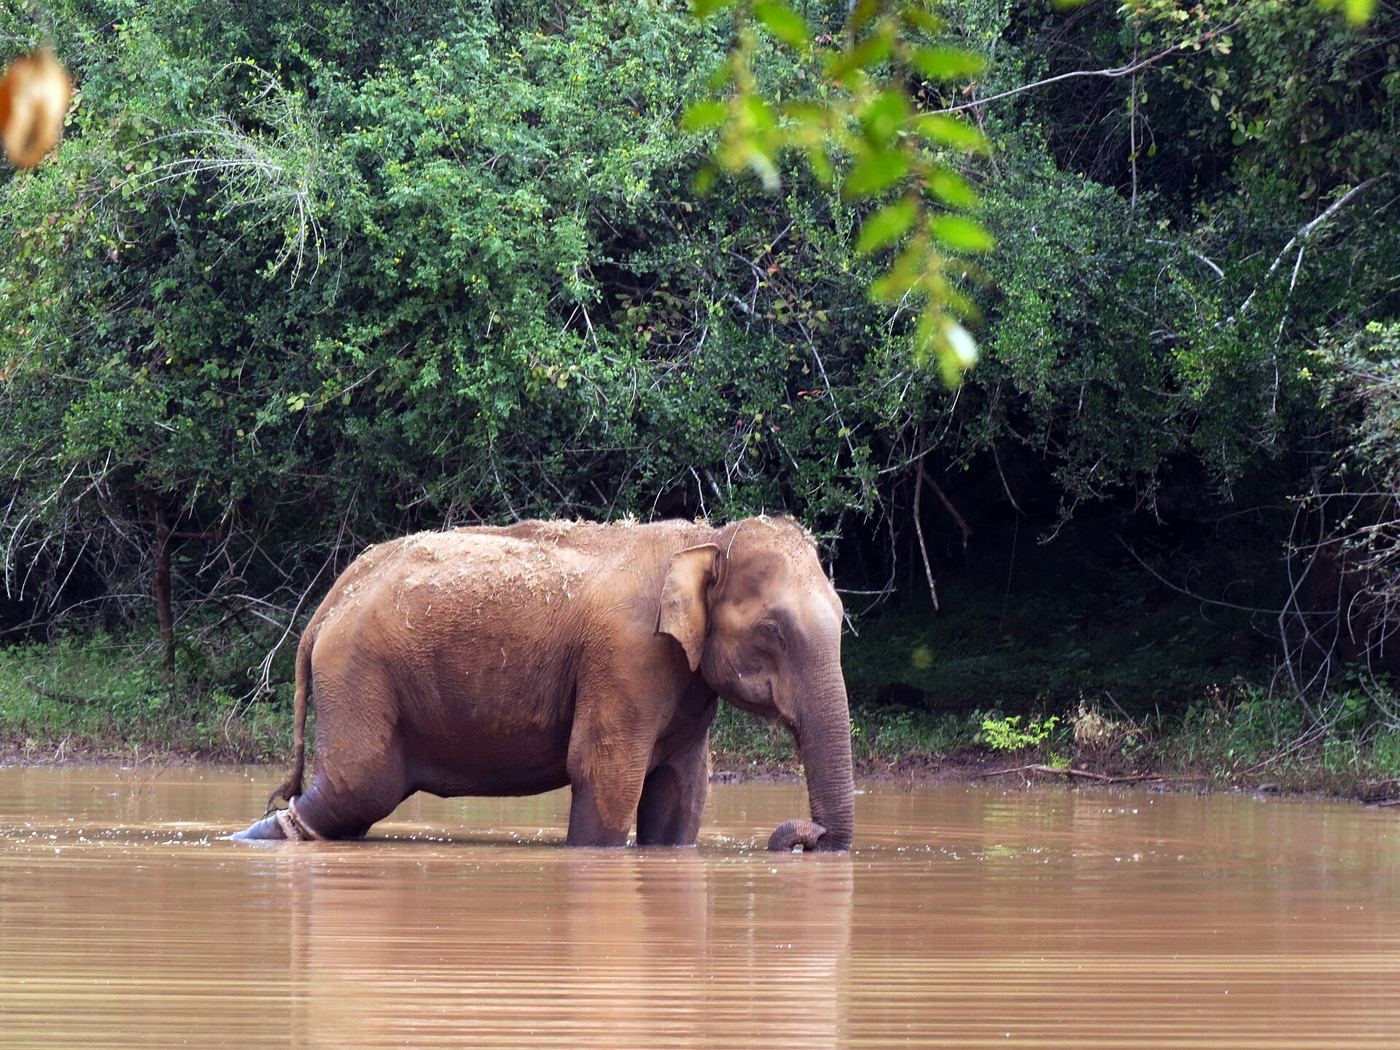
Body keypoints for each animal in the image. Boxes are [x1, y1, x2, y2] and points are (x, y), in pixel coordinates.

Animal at [232, 515, 854, 851]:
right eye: (772, 630)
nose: (803, 839)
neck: (706, 538)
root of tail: (332, 598)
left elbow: (681, 793)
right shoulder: (626, 657)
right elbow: (603, 773)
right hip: (359, 675)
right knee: (355, 788)